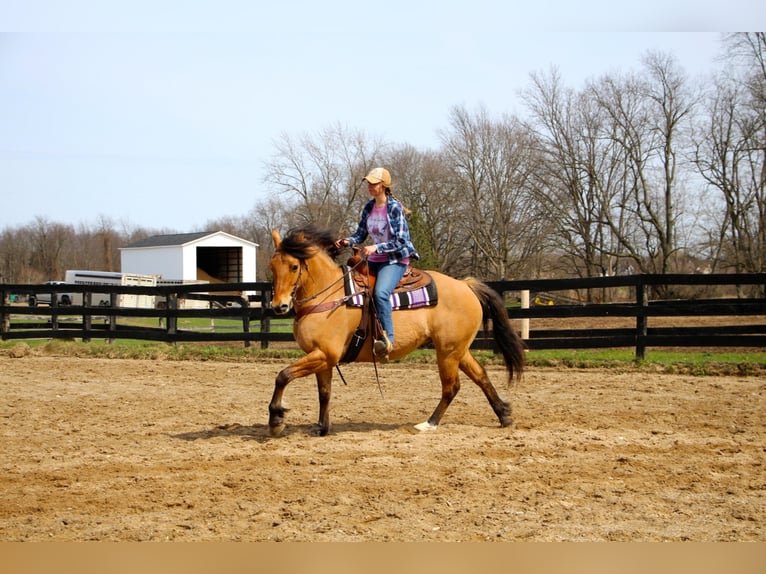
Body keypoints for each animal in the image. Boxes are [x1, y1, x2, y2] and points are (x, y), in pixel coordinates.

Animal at [268, 225, 524, 436]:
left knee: (451, 387)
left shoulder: (324, 354)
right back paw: (504, 414)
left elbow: (283, 376)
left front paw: (276, 419)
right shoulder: (323, 357)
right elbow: (324, 392)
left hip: (448, 352)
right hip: (457, 349)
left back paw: (429, 423)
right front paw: (322, 428)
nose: (279, 306)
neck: (330, 295)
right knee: (480, 375)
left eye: (294, 266)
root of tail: (464, 284)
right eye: (272, 266)